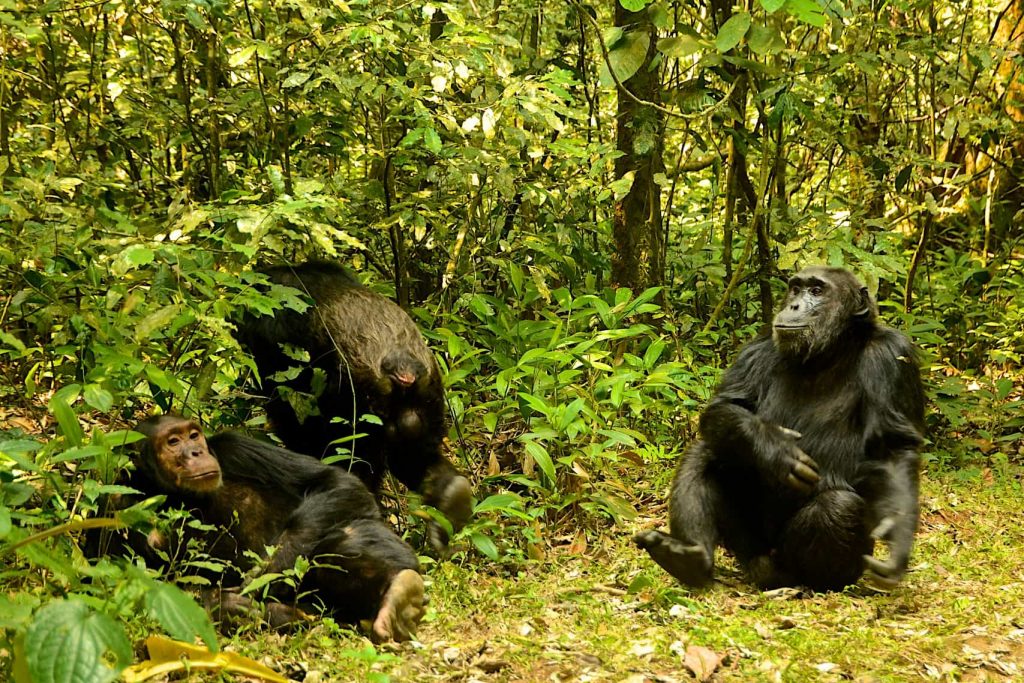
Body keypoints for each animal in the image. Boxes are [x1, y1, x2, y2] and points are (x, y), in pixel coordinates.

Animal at [124, 413, 428, 643]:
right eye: (173, 442)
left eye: (194, 435)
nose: (196, 452)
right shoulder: (122, 501)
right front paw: (230, 601)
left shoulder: (235, 447)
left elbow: (333, 481)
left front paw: (267, 572)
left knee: (347, 539)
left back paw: (401, 594)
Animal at [235, 259, 471, 552]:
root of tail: (403, 365)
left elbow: (291, 417)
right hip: (429, 397)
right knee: (414, 455)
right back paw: (451, 498)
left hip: (360, 405)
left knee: (355, 460)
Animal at [634, 266, 925, 593]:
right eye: (796, 289)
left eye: (817, 291)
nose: (794, 305)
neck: (831, 352)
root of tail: (764, 567)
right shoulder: (759, 347)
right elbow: (725, 406)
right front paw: (776, 449)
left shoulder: (893, 357)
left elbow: (893, 448)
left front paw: (898, 542)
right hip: (747, 548)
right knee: (707, 450)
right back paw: (688, 558)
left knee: (838, 506)